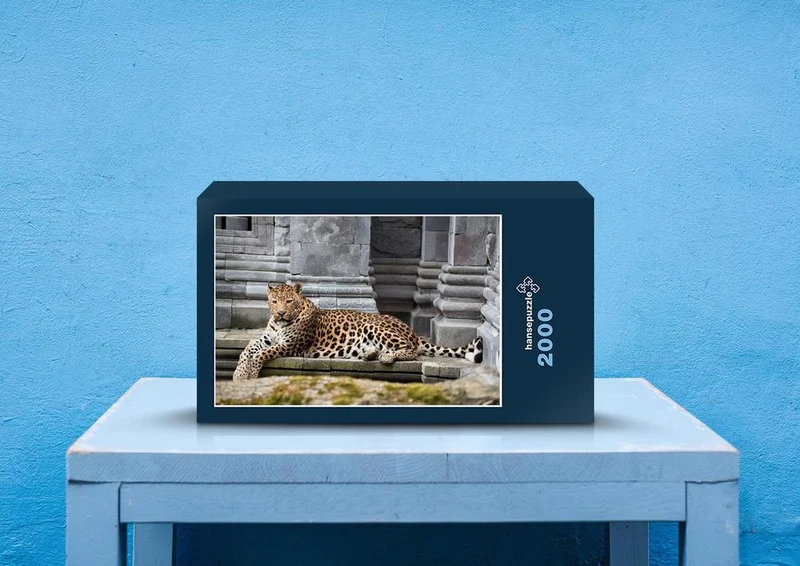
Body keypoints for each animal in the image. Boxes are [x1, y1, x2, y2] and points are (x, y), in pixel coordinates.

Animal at [231, 283, 483, 381]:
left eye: (289, 301)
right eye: (274, 301)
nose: (281, 313)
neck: (281, 324)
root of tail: (411, 331)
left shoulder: (291, 346)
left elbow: (261, 354)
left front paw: (249, 374)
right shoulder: (267, 338)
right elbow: (248, 348)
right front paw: (239, 373)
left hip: (375, 326)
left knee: (411, 350)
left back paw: (386, 356)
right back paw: (369, 354)